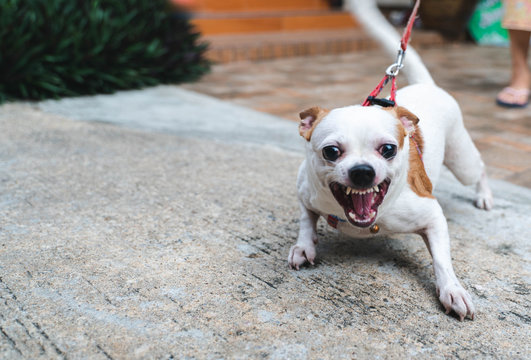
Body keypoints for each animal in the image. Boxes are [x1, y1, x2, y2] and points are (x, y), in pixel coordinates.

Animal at [290, 0, 494, 320]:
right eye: (331, 152)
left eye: (388, 149)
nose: (362, 171)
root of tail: (428, 85)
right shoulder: (304, 193)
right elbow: (305, 220)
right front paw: (304, 246)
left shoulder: (432, 215)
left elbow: (442, 260)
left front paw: (453, 290)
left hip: (463, 161)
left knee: (480, 169)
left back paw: (484, 196)